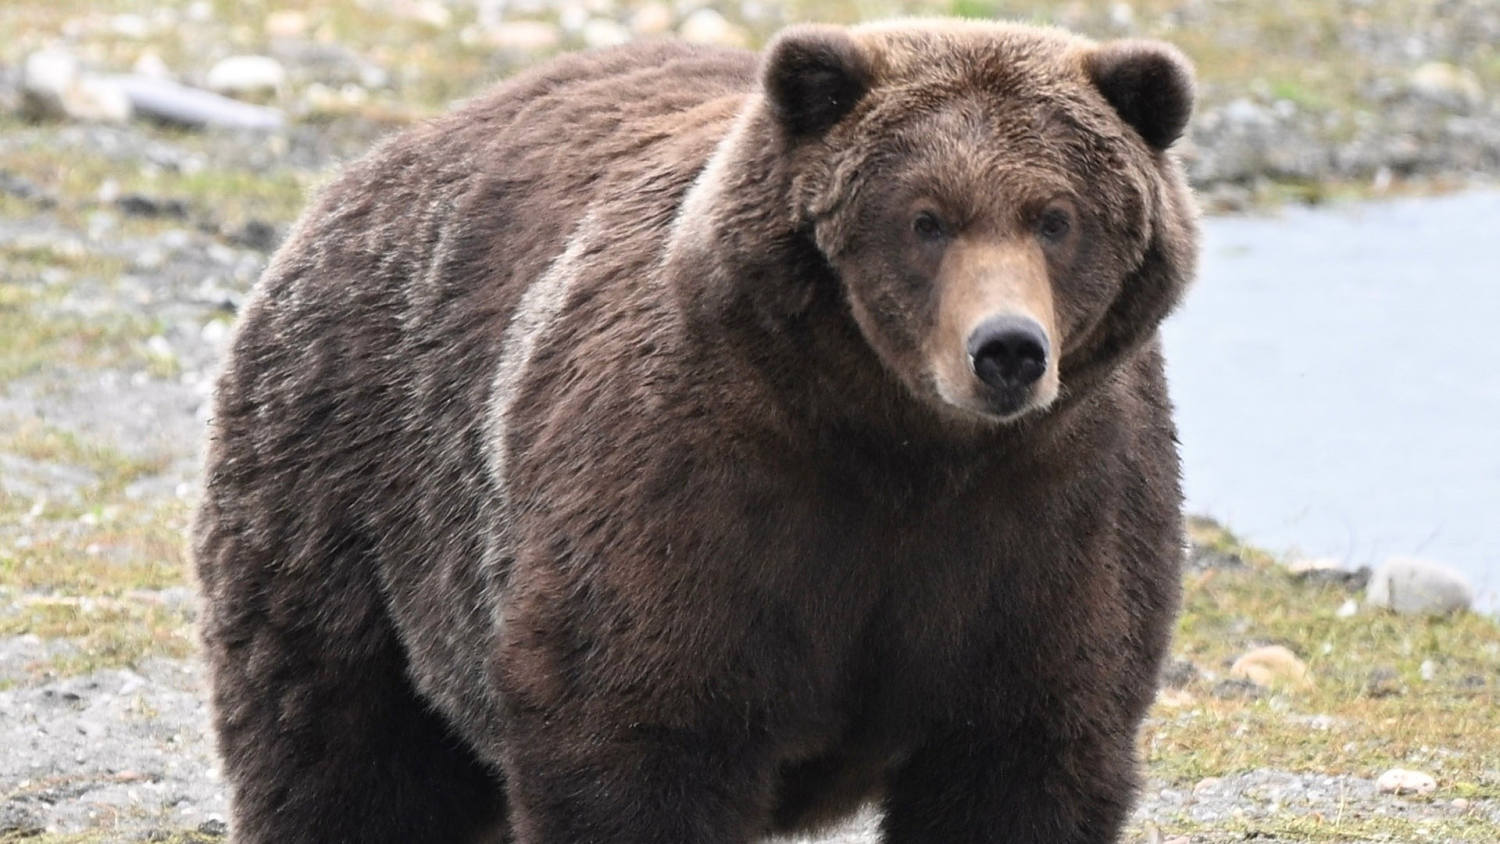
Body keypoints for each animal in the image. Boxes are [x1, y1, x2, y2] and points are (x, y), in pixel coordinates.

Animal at [194, 18, 1198, 844]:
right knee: (341, 751)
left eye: (1056, 217)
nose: (1007, 350)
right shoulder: (694, 487)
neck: (900, 446)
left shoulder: (1052, 521)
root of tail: (357, 176)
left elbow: (1025, 755)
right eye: (925, 219)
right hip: (353, 497)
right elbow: (637, 731)